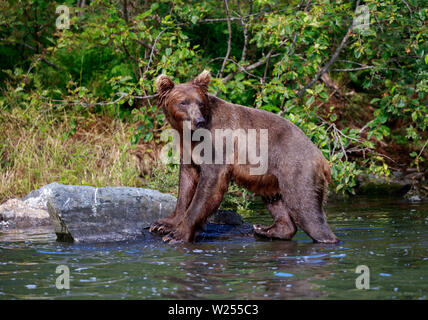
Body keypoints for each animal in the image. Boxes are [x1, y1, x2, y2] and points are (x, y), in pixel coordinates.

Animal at [149, 70, 340, 245]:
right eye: (183, 102)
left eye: (200, 103)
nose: (199, 121)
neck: (191, 135)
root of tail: (322, 158)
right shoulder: (189, 152)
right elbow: (186, 185)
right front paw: (163, 224)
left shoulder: (218, 147)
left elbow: (208, 186)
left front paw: (177, 235)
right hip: (271, 176)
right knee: (276, 201)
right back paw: (265, 229)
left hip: (296, 169)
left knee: (305, 207)